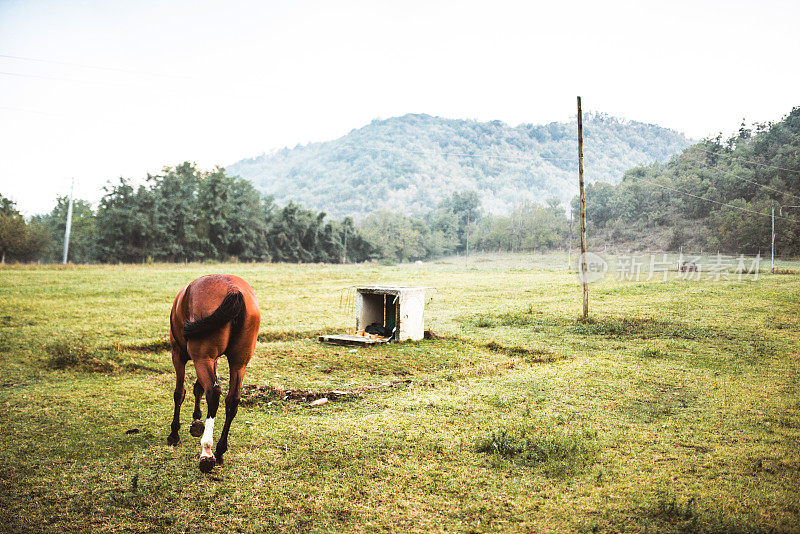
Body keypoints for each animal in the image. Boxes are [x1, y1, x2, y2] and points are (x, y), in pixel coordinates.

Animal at [168, 276, 260, 474]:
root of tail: (233, 288)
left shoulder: (178, 354)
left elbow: (180, 393)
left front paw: (174, 433)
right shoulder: (214, 359)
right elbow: (197, 388)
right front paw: (196, 421)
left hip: (201, 357)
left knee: (213, 393)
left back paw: (207, 451)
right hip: (239, 362)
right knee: (232, 400)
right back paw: (220, 449)